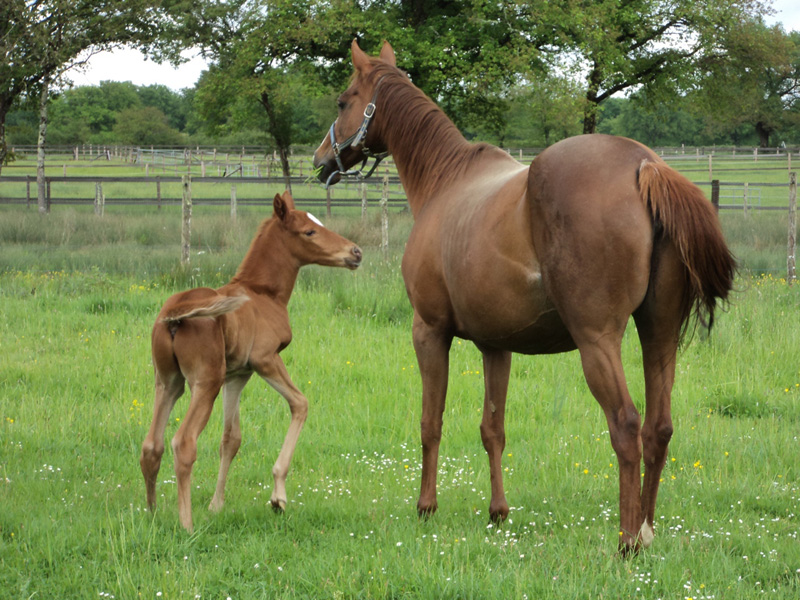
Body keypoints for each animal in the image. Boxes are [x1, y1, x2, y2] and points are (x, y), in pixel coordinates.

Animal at [139, 191, 360, 528]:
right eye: (309, 231)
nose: (355, 252)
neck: (263, 293)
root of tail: (175, 313)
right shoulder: (264, 360)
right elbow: (300, 403)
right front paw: (278, 497)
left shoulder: (238, 374)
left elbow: (231, 438)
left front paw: (216, 505)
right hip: (205, 382)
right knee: (183, 442)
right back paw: (186, 525)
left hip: (168, 382)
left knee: (152, 444)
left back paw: (152, 514)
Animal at [314, 39, 736, 552]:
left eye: (343, 101)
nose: (320, 159)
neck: (445, 181)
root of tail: (644, 165)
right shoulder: (497, 346)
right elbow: (492, 428)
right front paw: (498, 512)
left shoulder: (429, 332)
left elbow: (430, 423)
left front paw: (426, 507)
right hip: (658, 334)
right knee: (659, 427)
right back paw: (646, 530)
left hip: (598, 342)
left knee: (626, 426)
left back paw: (627, 541)